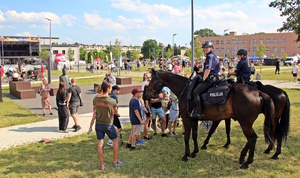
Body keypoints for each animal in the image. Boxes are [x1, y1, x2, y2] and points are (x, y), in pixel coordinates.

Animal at [144, 69, 276, 169]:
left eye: (152, 80)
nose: (146, 95)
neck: (185, 90)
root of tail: (258, 93)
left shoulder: (187, 119)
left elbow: (187, 137)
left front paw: (186, 155)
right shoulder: (194, 119)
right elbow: (194, 135)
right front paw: (194, 152)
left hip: (245, 123)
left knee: (252, 138)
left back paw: (247, 162)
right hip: (246, 123)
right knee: (252, 139)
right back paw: (243, 157)